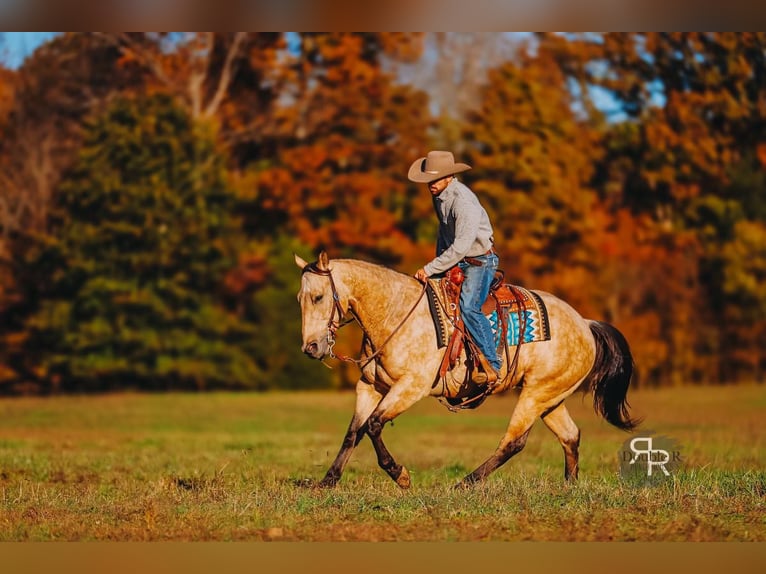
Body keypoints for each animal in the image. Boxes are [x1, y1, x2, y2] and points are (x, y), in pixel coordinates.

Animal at [294, 251, 639, 489]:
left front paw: (400, 474)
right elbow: (354, 432)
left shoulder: (411, 387)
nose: (311, 348)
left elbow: (374, 425)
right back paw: (569, 485)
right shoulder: (369, 386)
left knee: (514, 442)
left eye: (319, 296)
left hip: (536, 394)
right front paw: (327, 481)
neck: (396, 313)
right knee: (570, 436)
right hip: (551, 397)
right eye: (300, 298)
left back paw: (466, 483)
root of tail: (586, 324)